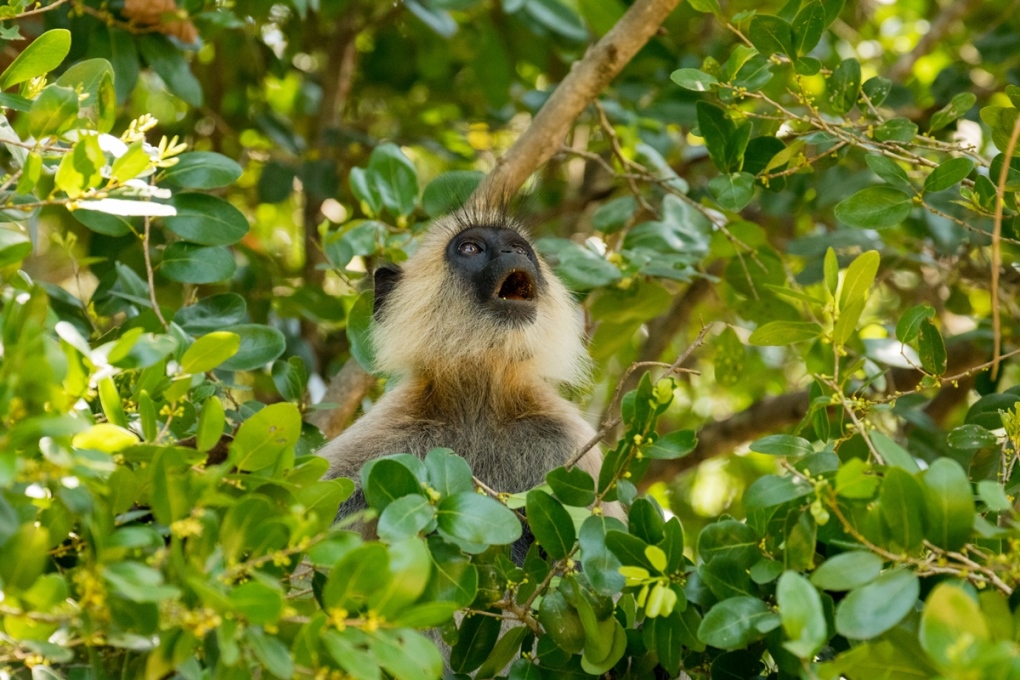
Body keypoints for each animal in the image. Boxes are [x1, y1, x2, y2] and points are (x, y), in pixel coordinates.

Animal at [316, 207, 611, 558]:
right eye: (471, 249)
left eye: (520, 249)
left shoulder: (566, 438)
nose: (512, 252)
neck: (479, 405)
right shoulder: (379, 440)